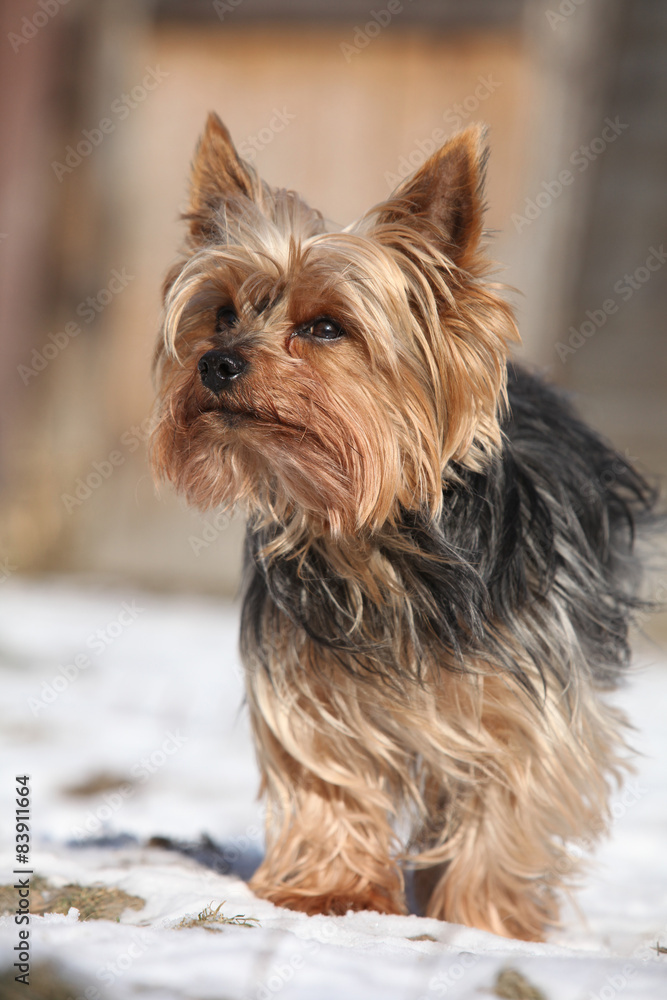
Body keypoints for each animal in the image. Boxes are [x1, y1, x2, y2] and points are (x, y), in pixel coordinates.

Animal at [153, 115, 656, 936]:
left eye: (326, 327)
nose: (217, 363)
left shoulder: (528, 692)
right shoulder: (308, 682)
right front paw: (333, 893)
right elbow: (327, 779)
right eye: (223, 311)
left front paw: (482, 919)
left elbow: (509, 800)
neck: (373, 536)